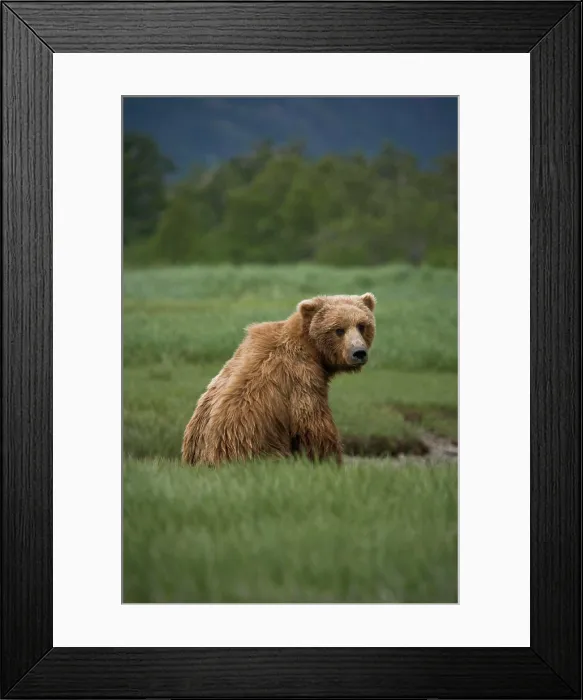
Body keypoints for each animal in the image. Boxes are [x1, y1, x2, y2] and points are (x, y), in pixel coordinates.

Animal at [181, 293, 376, 467]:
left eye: (362, 325)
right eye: (338, 330)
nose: (359, 353)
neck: (312, 350)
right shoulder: (301, 378)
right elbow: (312, 425)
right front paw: (330, 460)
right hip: (249, 445)